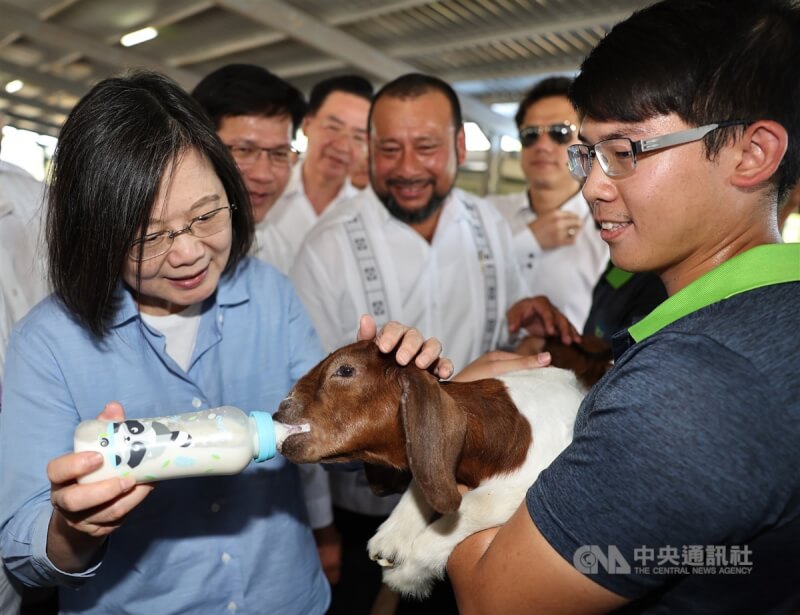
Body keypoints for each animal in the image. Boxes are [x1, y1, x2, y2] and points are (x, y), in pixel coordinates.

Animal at [274, 340, 580, 600]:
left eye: (345, 370)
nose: (279, 411)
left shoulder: (526, 484)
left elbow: (477, 505)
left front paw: (403, 578)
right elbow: (424, 479)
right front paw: (389, 542)